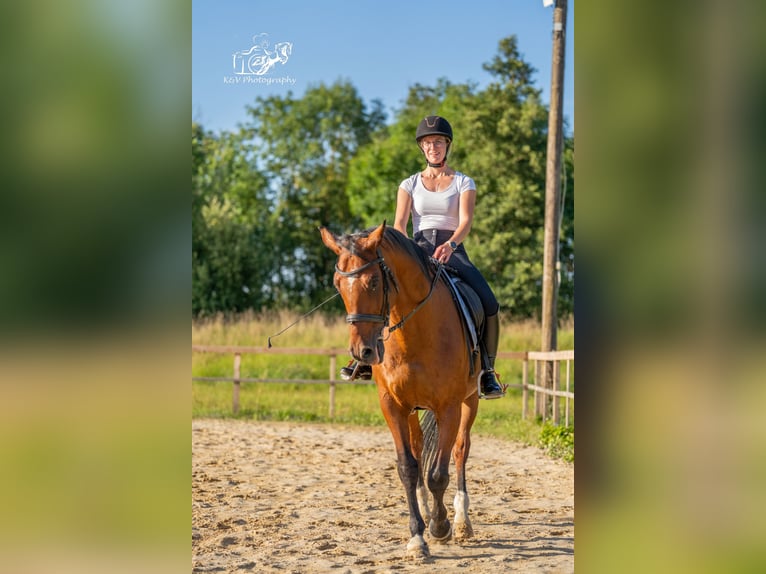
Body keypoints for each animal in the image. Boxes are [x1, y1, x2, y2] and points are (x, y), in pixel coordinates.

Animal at [322, 223, 480, 560]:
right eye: (338, 285)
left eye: (372, 282)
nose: (363, 352)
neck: (414, 332)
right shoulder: (392, 406)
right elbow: (408, 467)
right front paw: (418, 537)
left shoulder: (448, 406)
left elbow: (439, 474)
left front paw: (440, 527)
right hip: (413, 409)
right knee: (419, 450)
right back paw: (427, 509)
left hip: (470, 400)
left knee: (460, 450)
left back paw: (461, 520)